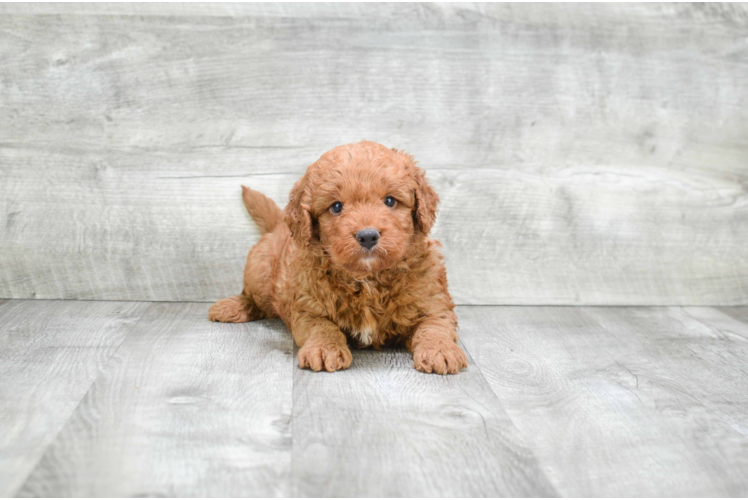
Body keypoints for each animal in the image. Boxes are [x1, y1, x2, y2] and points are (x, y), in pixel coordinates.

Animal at [210, 139, 464, 374]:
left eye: (390, 200)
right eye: (336, 207)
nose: (368, 236)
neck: (368, 280)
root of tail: (279, 223)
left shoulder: (433, 301)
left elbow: (435, 325)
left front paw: (440, 350)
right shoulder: (308, 307)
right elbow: (322, 327)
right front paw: (324, 349)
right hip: (260, 272)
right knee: (253, 296)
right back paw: (233, 307)